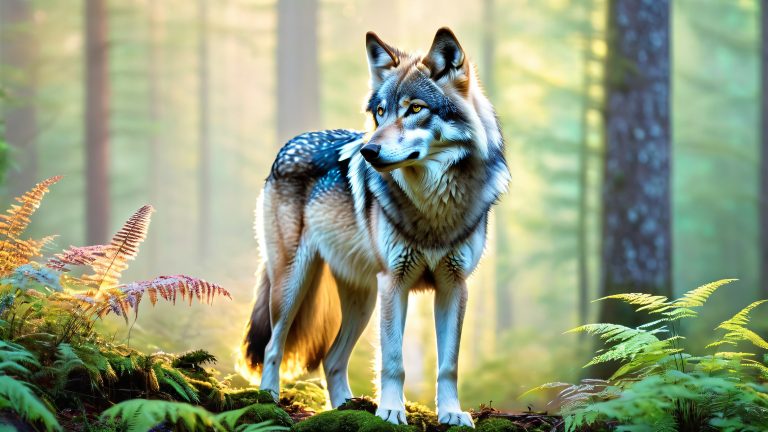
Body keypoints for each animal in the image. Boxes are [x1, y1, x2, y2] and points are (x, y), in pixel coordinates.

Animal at [241, 28, 510, 427]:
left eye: (415, 109)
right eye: (380, 112)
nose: (367, 152)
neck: (433, 206)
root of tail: (286, 147)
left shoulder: (454, 286)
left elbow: (449, 365)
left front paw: (451, 413)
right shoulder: (394, 282)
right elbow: (394, 360)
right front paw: (392, 411)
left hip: (363, 298)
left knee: (331, 358)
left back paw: (346, 408)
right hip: (294, 284)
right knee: (275, 345)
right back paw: (268, 400)